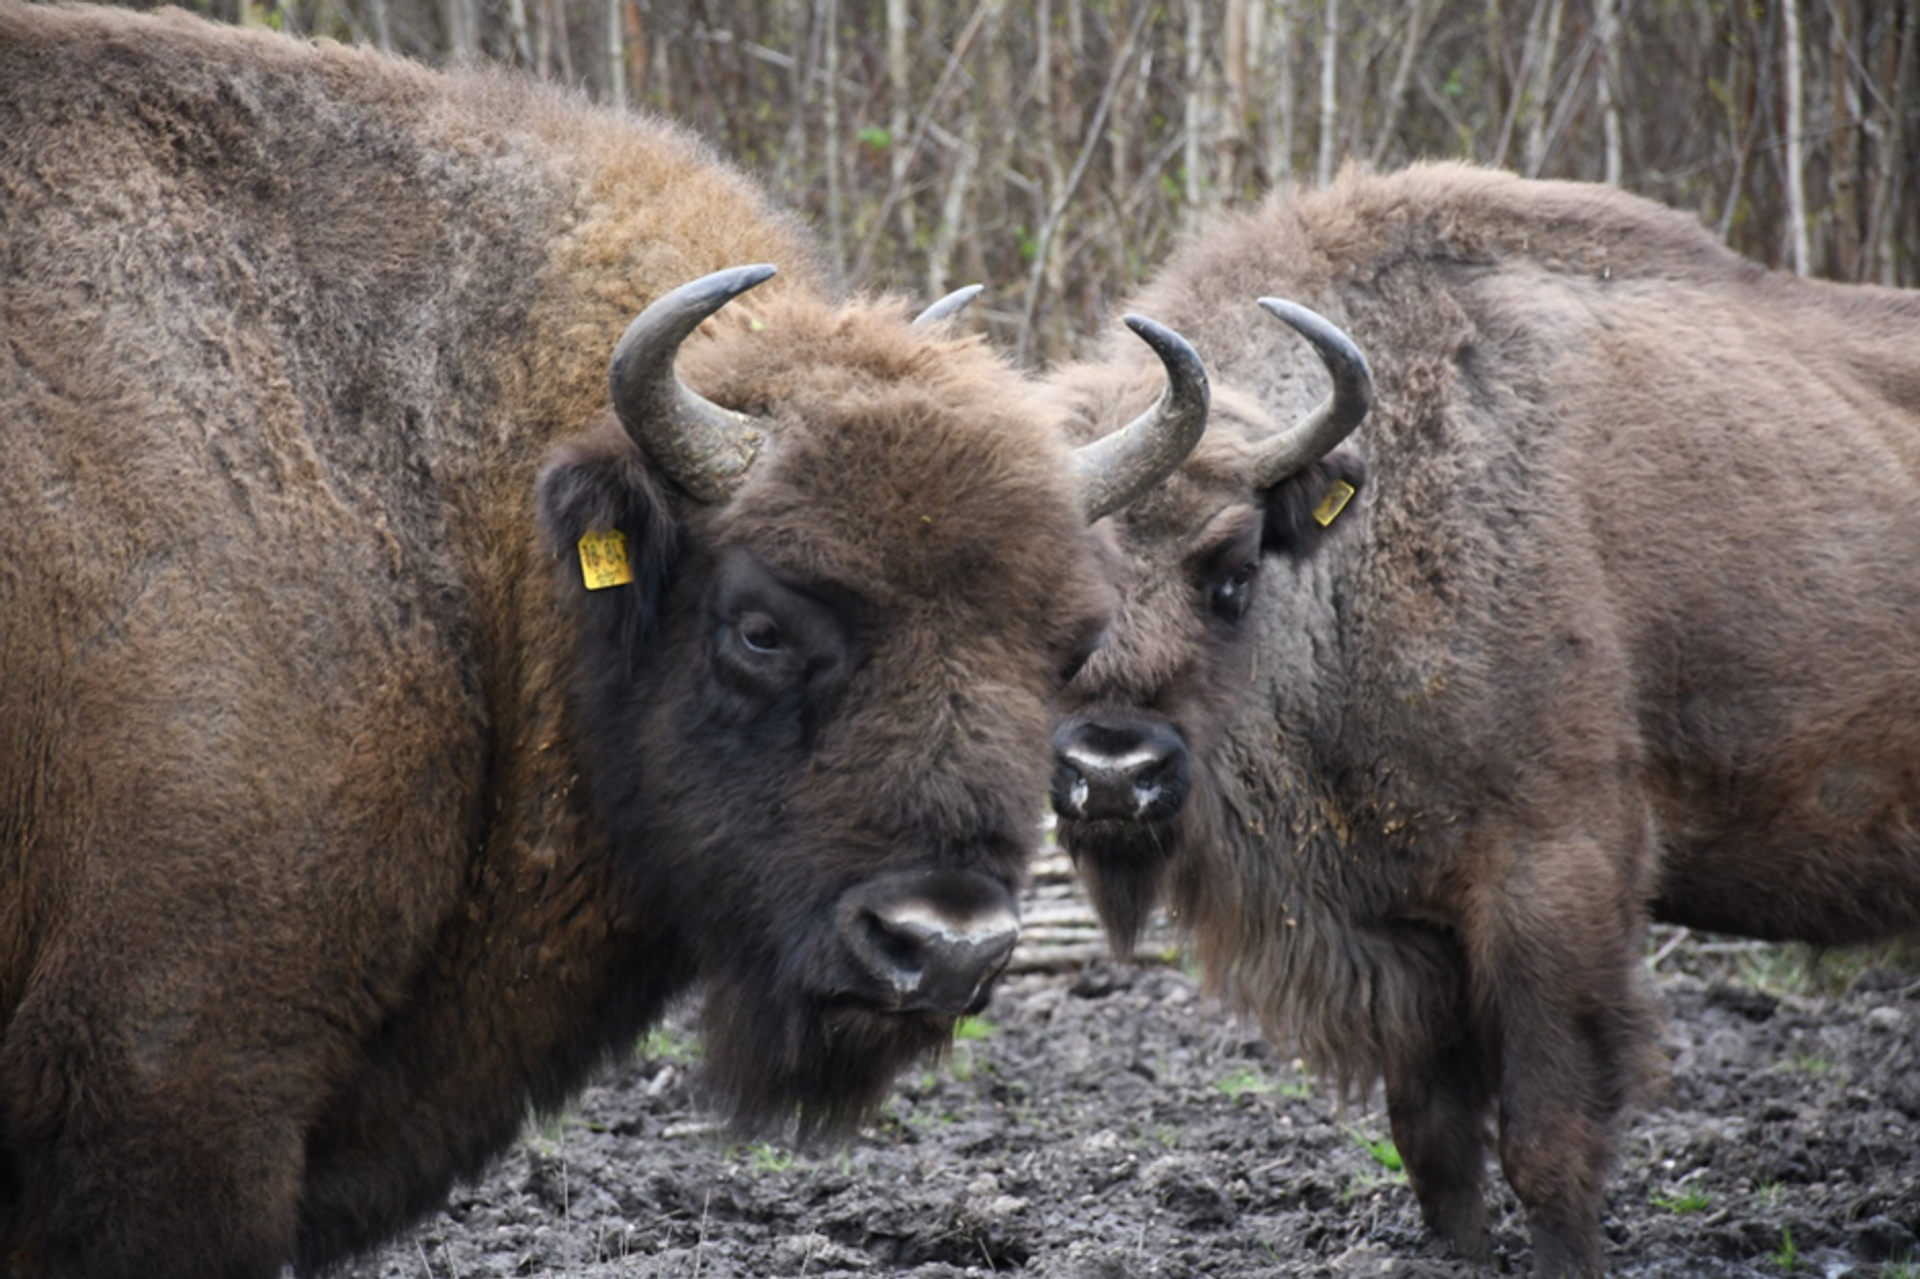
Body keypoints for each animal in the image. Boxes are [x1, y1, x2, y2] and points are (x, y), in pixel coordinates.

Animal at [1044, 164, 1920, 1267]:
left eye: (1234, 570)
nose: (1112, 773)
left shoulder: (1553, 881)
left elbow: (1548, 1140)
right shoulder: (1410, 935)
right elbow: (1438, 1149)